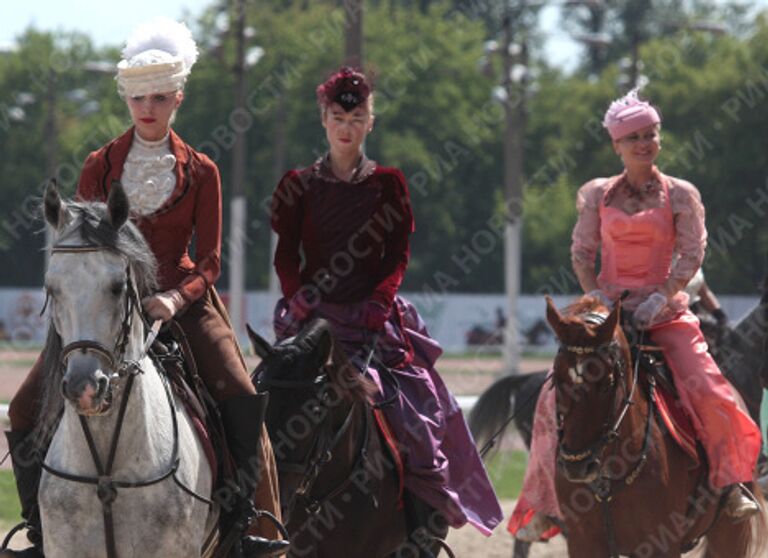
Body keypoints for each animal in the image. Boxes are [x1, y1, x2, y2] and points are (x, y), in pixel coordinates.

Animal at [548, 296, 764, 556]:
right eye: (557, 379)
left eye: (607, 383)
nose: (577, 466)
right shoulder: (583, 543)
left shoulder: (662, 543)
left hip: (730, 534)